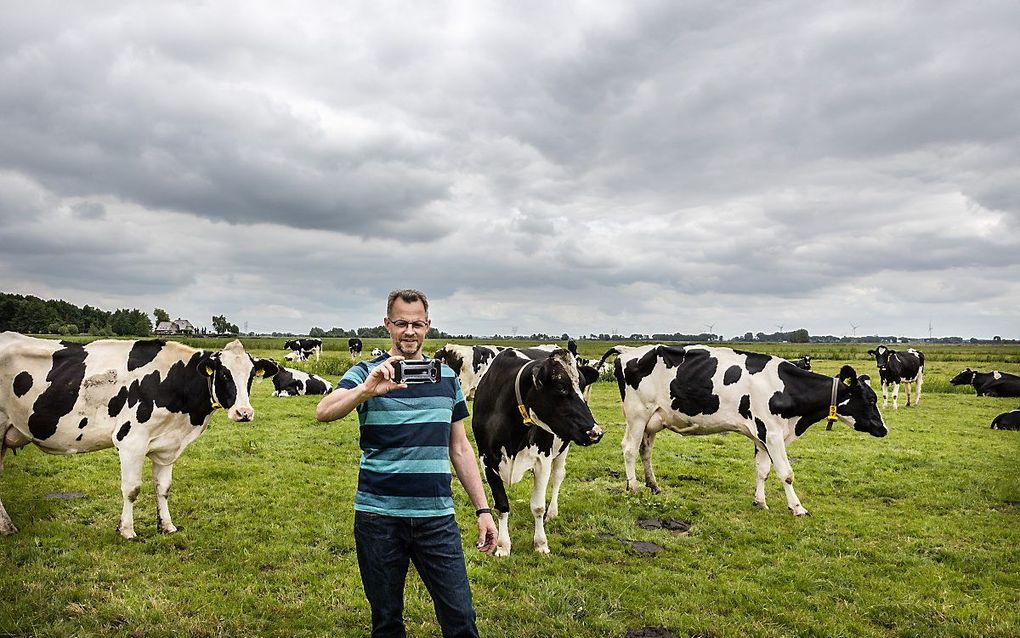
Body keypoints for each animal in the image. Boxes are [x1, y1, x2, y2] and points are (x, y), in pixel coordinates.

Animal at [0, 332, 279, 538]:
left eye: (251, 376)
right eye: (223, 373)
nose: (244, 412)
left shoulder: (166, 445)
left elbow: (163, 488)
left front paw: (167, 526)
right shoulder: (130, 442)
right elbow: (132, 489)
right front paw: (127, 531)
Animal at [471, 345, 599, 555]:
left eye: (581, 385)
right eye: (561, 387)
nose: (596, 432)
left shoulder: (542, 460)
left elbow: (538, 507)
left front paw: (541, 543)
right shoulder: (487, 461)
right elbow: (501, 505)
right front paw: (503, 546)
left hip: (563, 447)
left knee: (558, 476)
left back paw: (552, 512)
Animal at [595, 345, 885, 514]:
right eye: (871, 400)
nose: (884, 430)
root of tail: (628, 349)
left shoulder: (762, 436)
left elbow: (763, 470)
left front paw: (760, 501)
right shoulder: (772, 433)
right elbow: (787, 474)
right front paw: (797, 507)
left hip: (653, 420)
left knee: (645, 450)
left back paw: (653, 486)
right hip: (637, 414)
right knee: (629, 448)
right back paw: (633, 487)